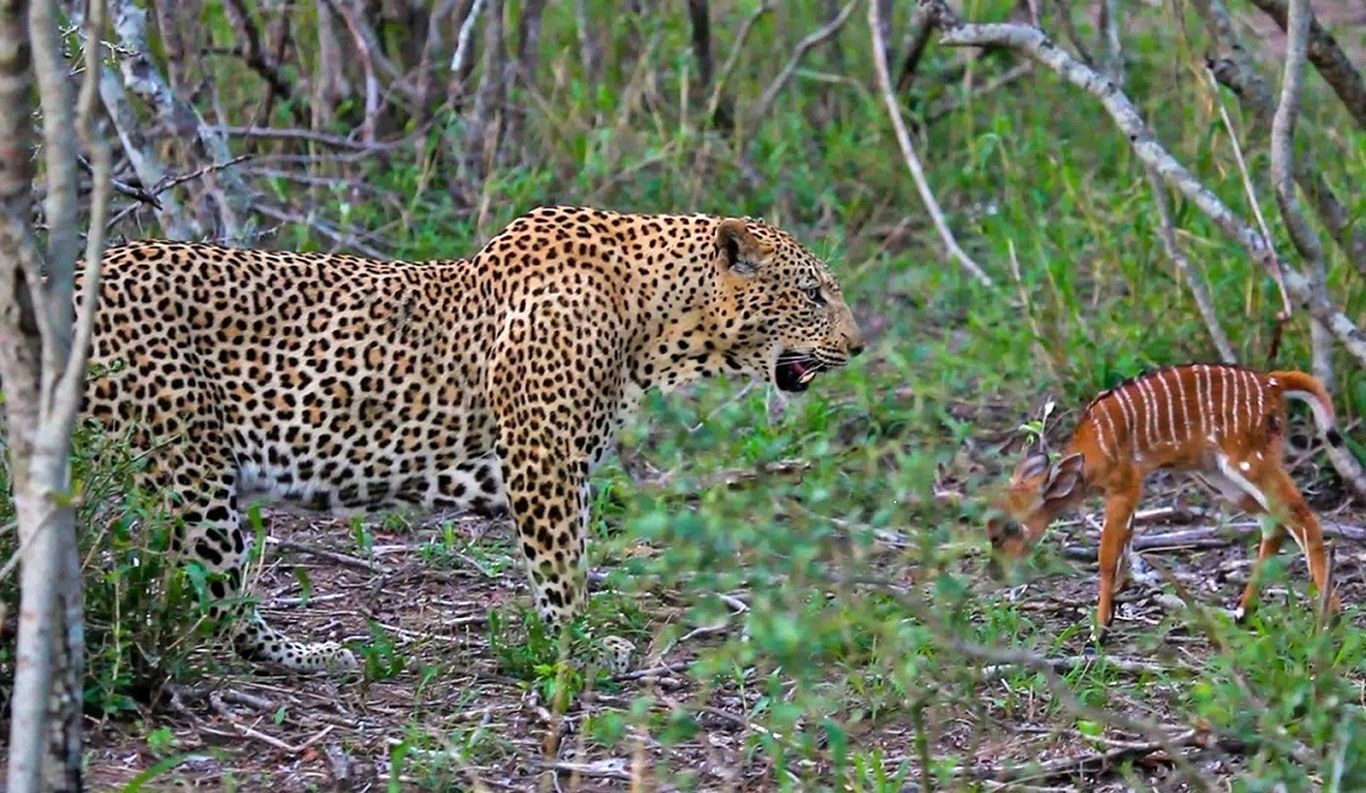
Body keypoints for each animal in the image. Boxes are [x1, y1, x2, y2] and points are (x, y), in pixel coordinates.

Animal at [74, 206, 857, 674]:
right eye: (814, 293)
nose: (858, 344)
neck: (656, 320)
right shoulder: (543, 464)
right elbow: (562, 571)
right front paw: (579, 648)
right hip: (191, 468)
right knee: (224, 598)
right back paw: (305, 654)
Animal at [988, 363, 1360, 638]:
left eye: (1011, 529)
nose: (995, 572)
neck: (1091, 452)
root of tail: (1274, 383)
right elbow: (1124, 547)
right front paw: (1115, 608)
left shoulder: (1126, 484)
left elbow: (1107, 554)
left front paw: (1099, 628)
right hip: (1219, 474)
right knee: (1274, 522)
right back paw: (1242, 611)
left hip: (1249, 460)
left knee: (1302, 516)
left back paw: (1330, 617)